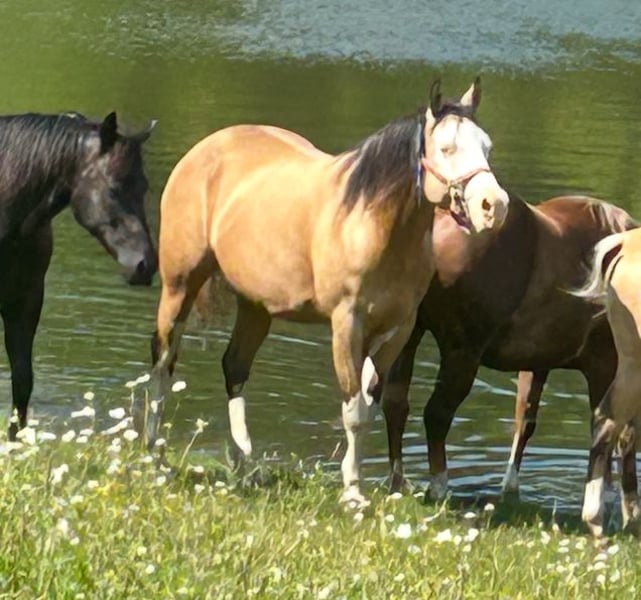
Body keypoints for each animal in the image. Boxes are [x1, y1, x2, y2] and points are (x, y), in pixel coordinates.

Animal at [145, 78, 509, 505]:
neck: (374, 223)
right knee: (163, 360)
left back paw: (245, 464)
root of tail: (203, 150)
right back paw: (154, 454)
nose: (494, 206)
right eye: (447, 148)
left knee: (234, 367)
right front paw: (352, 492)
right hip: (179, 287)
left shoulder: (397, 331)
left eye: (486, 146)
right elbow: (354, 412)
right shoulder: (346, 324)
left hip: (255, 306)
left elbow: (374, 405)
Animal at [380, 195, 637, 500]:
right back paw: (438, 487)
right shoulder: (604, 365)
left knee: (395, 404)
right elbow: (607, 430)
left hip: (408, 336)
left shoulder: (538, 363)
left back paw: (398, 484)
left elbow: (524, 422)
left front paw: (510, 488)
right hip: (461, 354)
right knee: (436, 415)